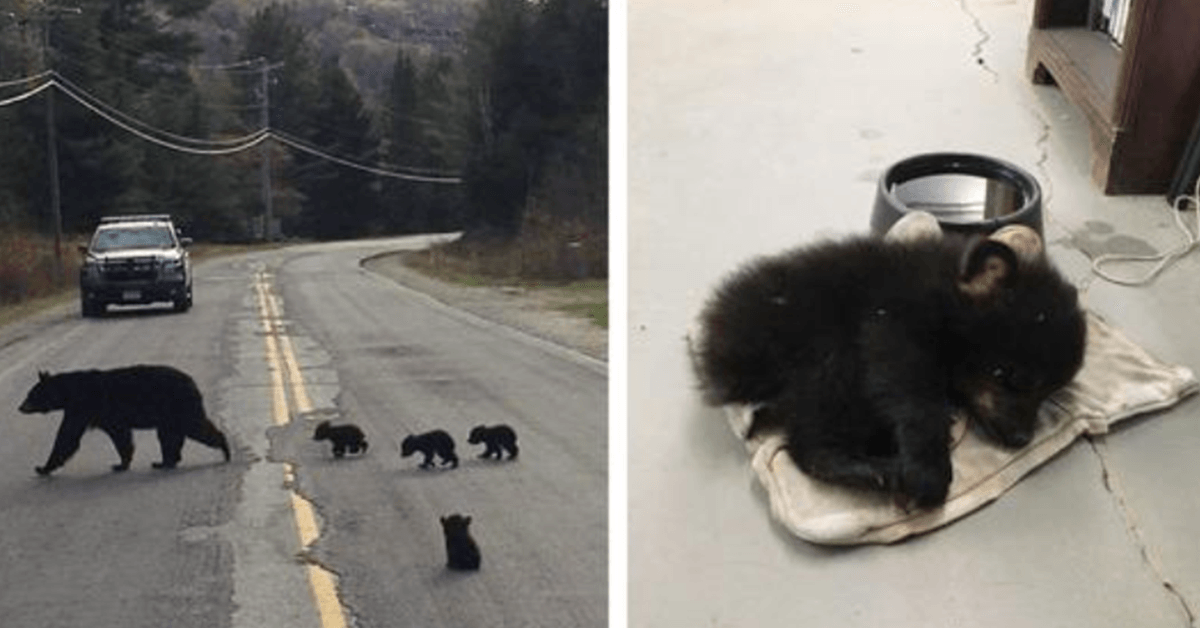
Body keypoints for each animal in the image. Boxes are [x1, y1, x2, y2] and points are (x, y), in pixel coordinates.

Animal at [18, 365, 232, 476]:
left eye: (30, 394)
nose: (20, 407)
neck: (69, 392)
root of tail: (193, 382)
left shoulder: (84, 407)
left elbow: (68, 435)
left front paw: (42, 468)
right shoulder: (85, 411)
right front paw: (123, 463)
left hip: (180, 406)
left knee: (194, 426)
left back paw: (225, 449)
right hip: (169, 414)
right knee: (169, 435)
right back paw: (165, 461)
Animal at [693, 233, 1087, 509]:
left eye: (1050, 392)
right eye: (1008, 377)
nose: (1022, 438)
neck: (944, 296)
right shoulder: (895, 323)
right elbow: (914, 392)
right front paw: (928, 471)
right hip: (830, 357)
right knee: (811, 442)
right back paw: (873, 470)